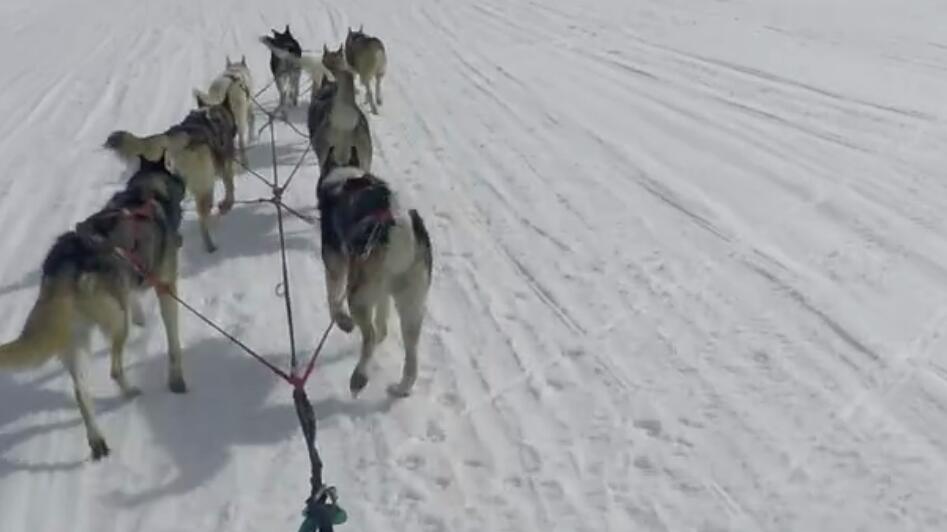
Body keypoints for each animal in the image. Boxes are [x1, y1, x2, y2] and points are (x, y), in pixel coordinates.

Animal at [0, 153, 187, 460]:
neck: (146, 194)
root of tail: (65, 264)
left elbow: (135, 299)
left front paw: (141, 317)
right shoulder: (166, 288)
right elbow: (173, 343)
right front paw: (177, 380)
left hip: (76, 339)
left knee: (81, 393)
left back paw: (97, 440)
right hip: (116, 324)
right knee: (114, 369)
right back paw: (129, 392)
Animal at [105, 94, 238, 253]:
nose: (236, 129)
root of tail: (175, 137)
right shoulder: (226, 165)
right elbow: (229, 186)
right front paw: (227, 204)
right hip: (204, 189)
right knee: (203, 220)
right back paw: (210, 245)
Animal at [317, 146, 432, 398]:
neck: (345, 176)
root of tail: (398, 226)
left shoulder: (335, 264)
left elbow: (332, 300)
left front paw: (342, 321)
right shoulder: (382, 294)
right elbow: (383, 320)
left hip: (357, 294)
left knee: (368, 336)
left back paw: (359, 376)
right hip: (411, 305)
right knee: (411, 358)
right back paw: (401, 388)